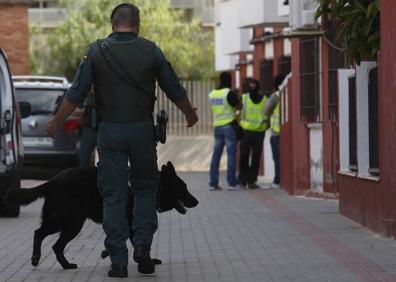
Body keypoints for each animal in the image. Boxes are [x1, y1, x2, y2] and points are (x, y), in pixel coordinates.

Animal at [6, 161, 198, 268]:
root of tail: (53, 181)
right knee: (51, 242)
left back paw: (52, 262)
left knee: (42, 236)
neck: (156, 188)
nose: (196, 202)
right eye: (183, 188)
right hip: (71, 224)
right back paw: (54, 262)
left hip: (60, 222)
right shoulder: (131, 225)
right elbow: (137, 242)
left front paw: (108, 253)